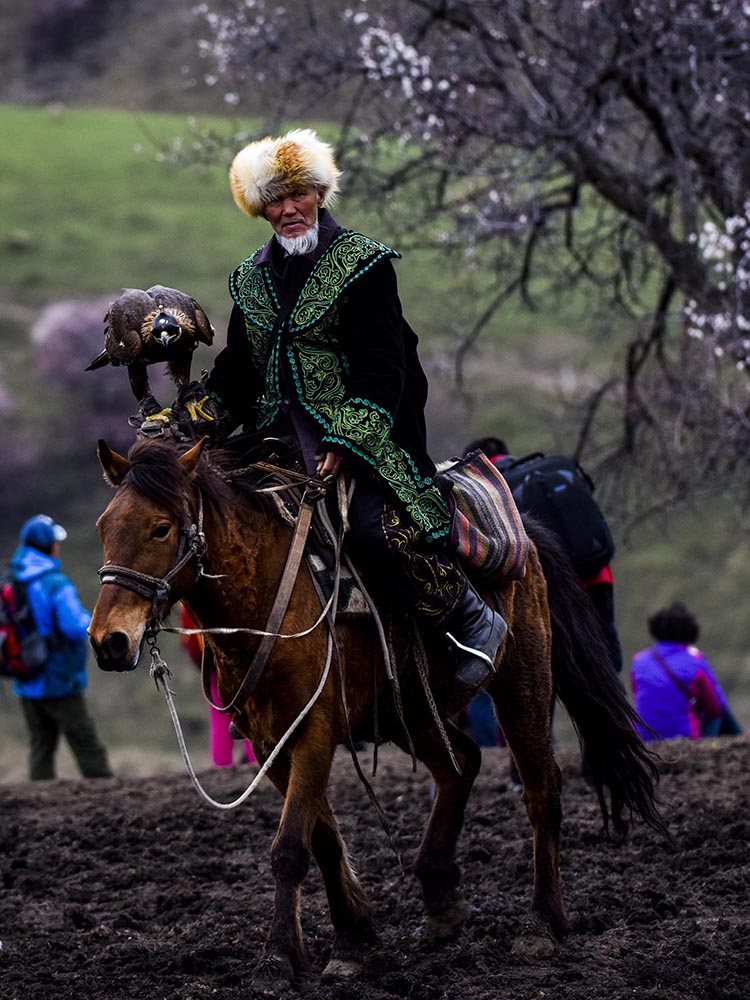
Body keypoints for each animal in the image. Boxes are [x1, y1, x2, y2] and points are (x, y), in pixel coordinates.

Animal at [89, 438, 664, 992]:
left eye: (161, 527)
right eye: (104, 527)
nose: (108, 642)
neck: (271, 597)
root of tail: (526, 536)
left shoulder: (314, 730)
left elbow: (291, 847)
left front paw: (278, 960)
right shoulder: (269, 743)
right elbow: (322, 840)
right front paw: (354, 940)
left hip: (523, 684)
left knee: (541, 790)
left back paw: (543, 923)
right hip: (411, 710)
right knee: (462, 763)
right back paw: (439, 894)